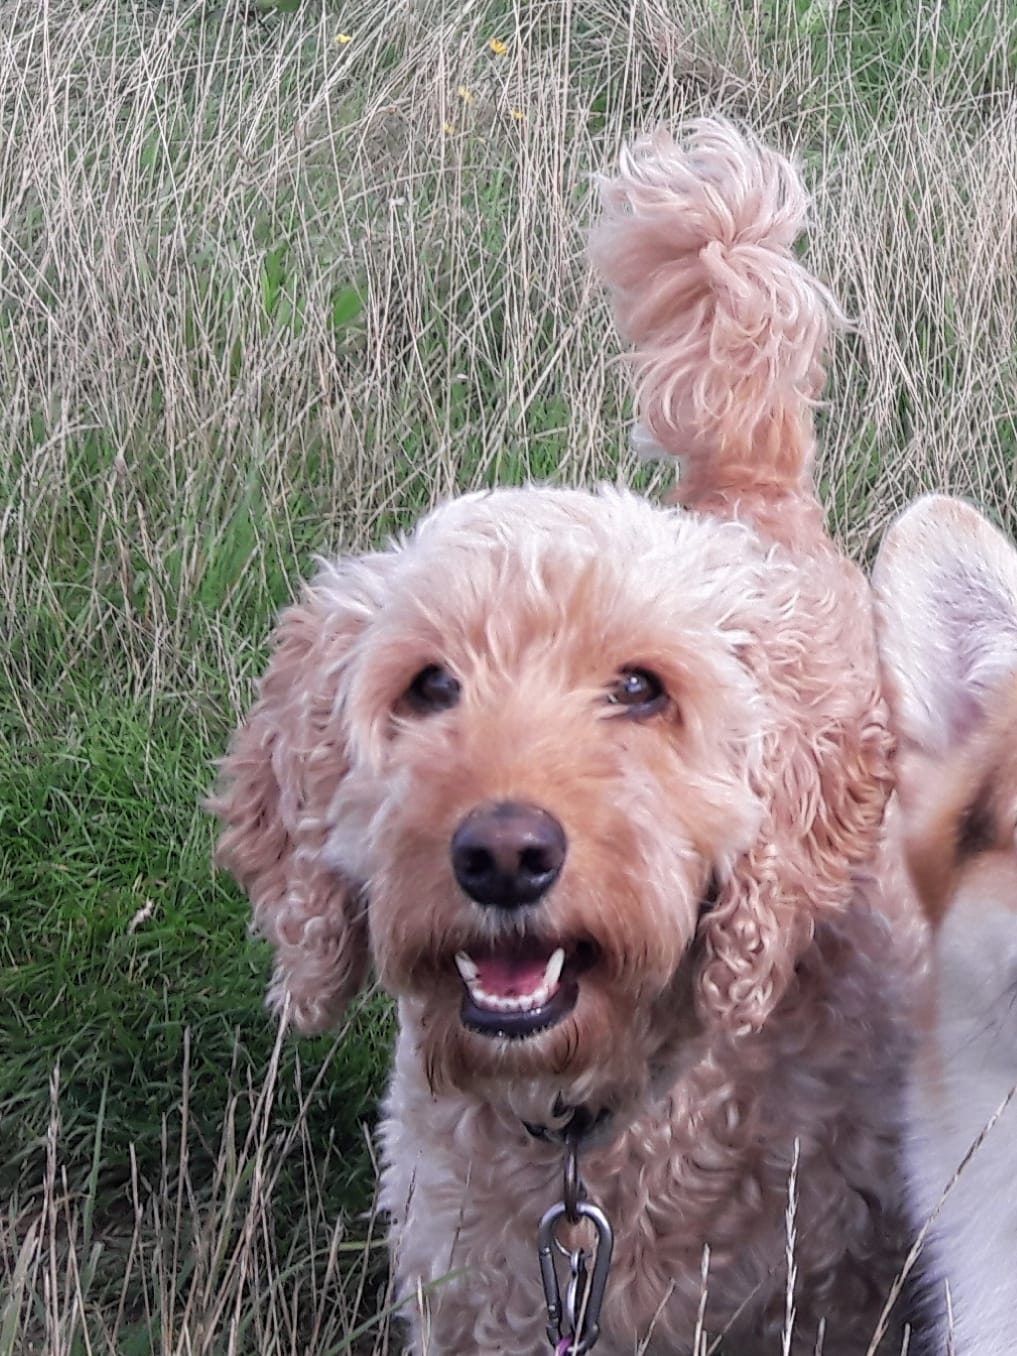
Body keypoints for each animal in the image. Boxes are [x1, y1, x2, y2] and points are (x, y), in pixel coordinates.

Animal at [211, 122, 927, 1350]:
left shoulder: (829, 1299)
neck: (586, 1136)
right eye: (428, 686)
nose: (503, 855)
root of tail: (748, 499)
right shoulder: (475, 1297)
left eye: (640, 689)